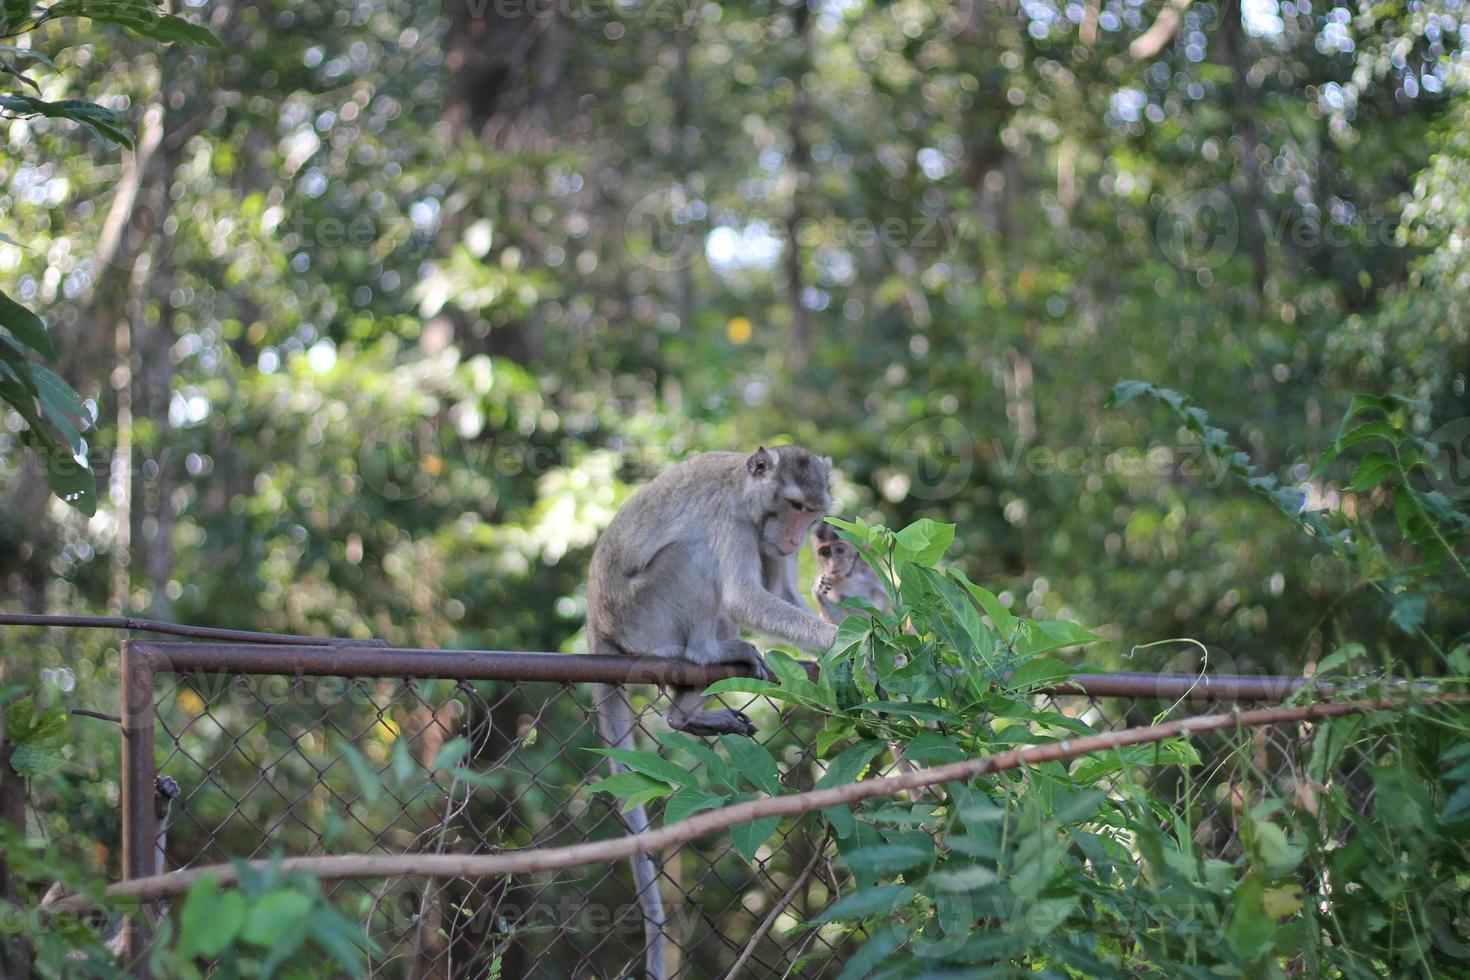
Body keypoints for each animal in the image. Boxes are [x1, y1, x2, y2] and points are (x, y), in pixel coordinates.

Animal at [588, 446, 840, 980]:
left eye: (811, 512)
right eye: (793, 505)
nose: (795, 538)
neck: (746, 494)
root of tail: (597, 625)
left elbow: (779, 594)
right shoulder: (731, 522)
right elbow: (745, 598)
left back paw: (685, 716)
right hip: (644, 620)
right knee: (694, 558)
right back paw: (708, 653)